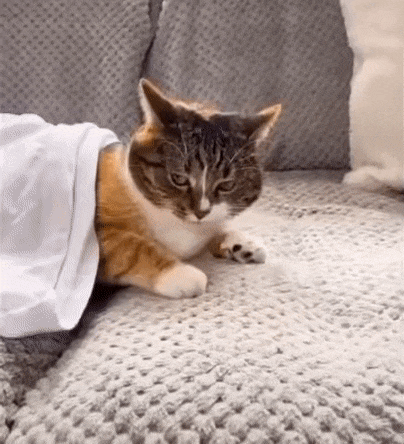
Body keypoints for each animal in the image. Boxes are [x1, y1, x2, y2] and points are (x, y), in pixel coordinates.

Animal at [95, 79, 281, 298]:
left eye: (226, 184)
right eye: (179, 179)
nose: (201, 212)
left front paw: (241, 242)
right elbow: (129, 247)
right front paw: (180, 274)